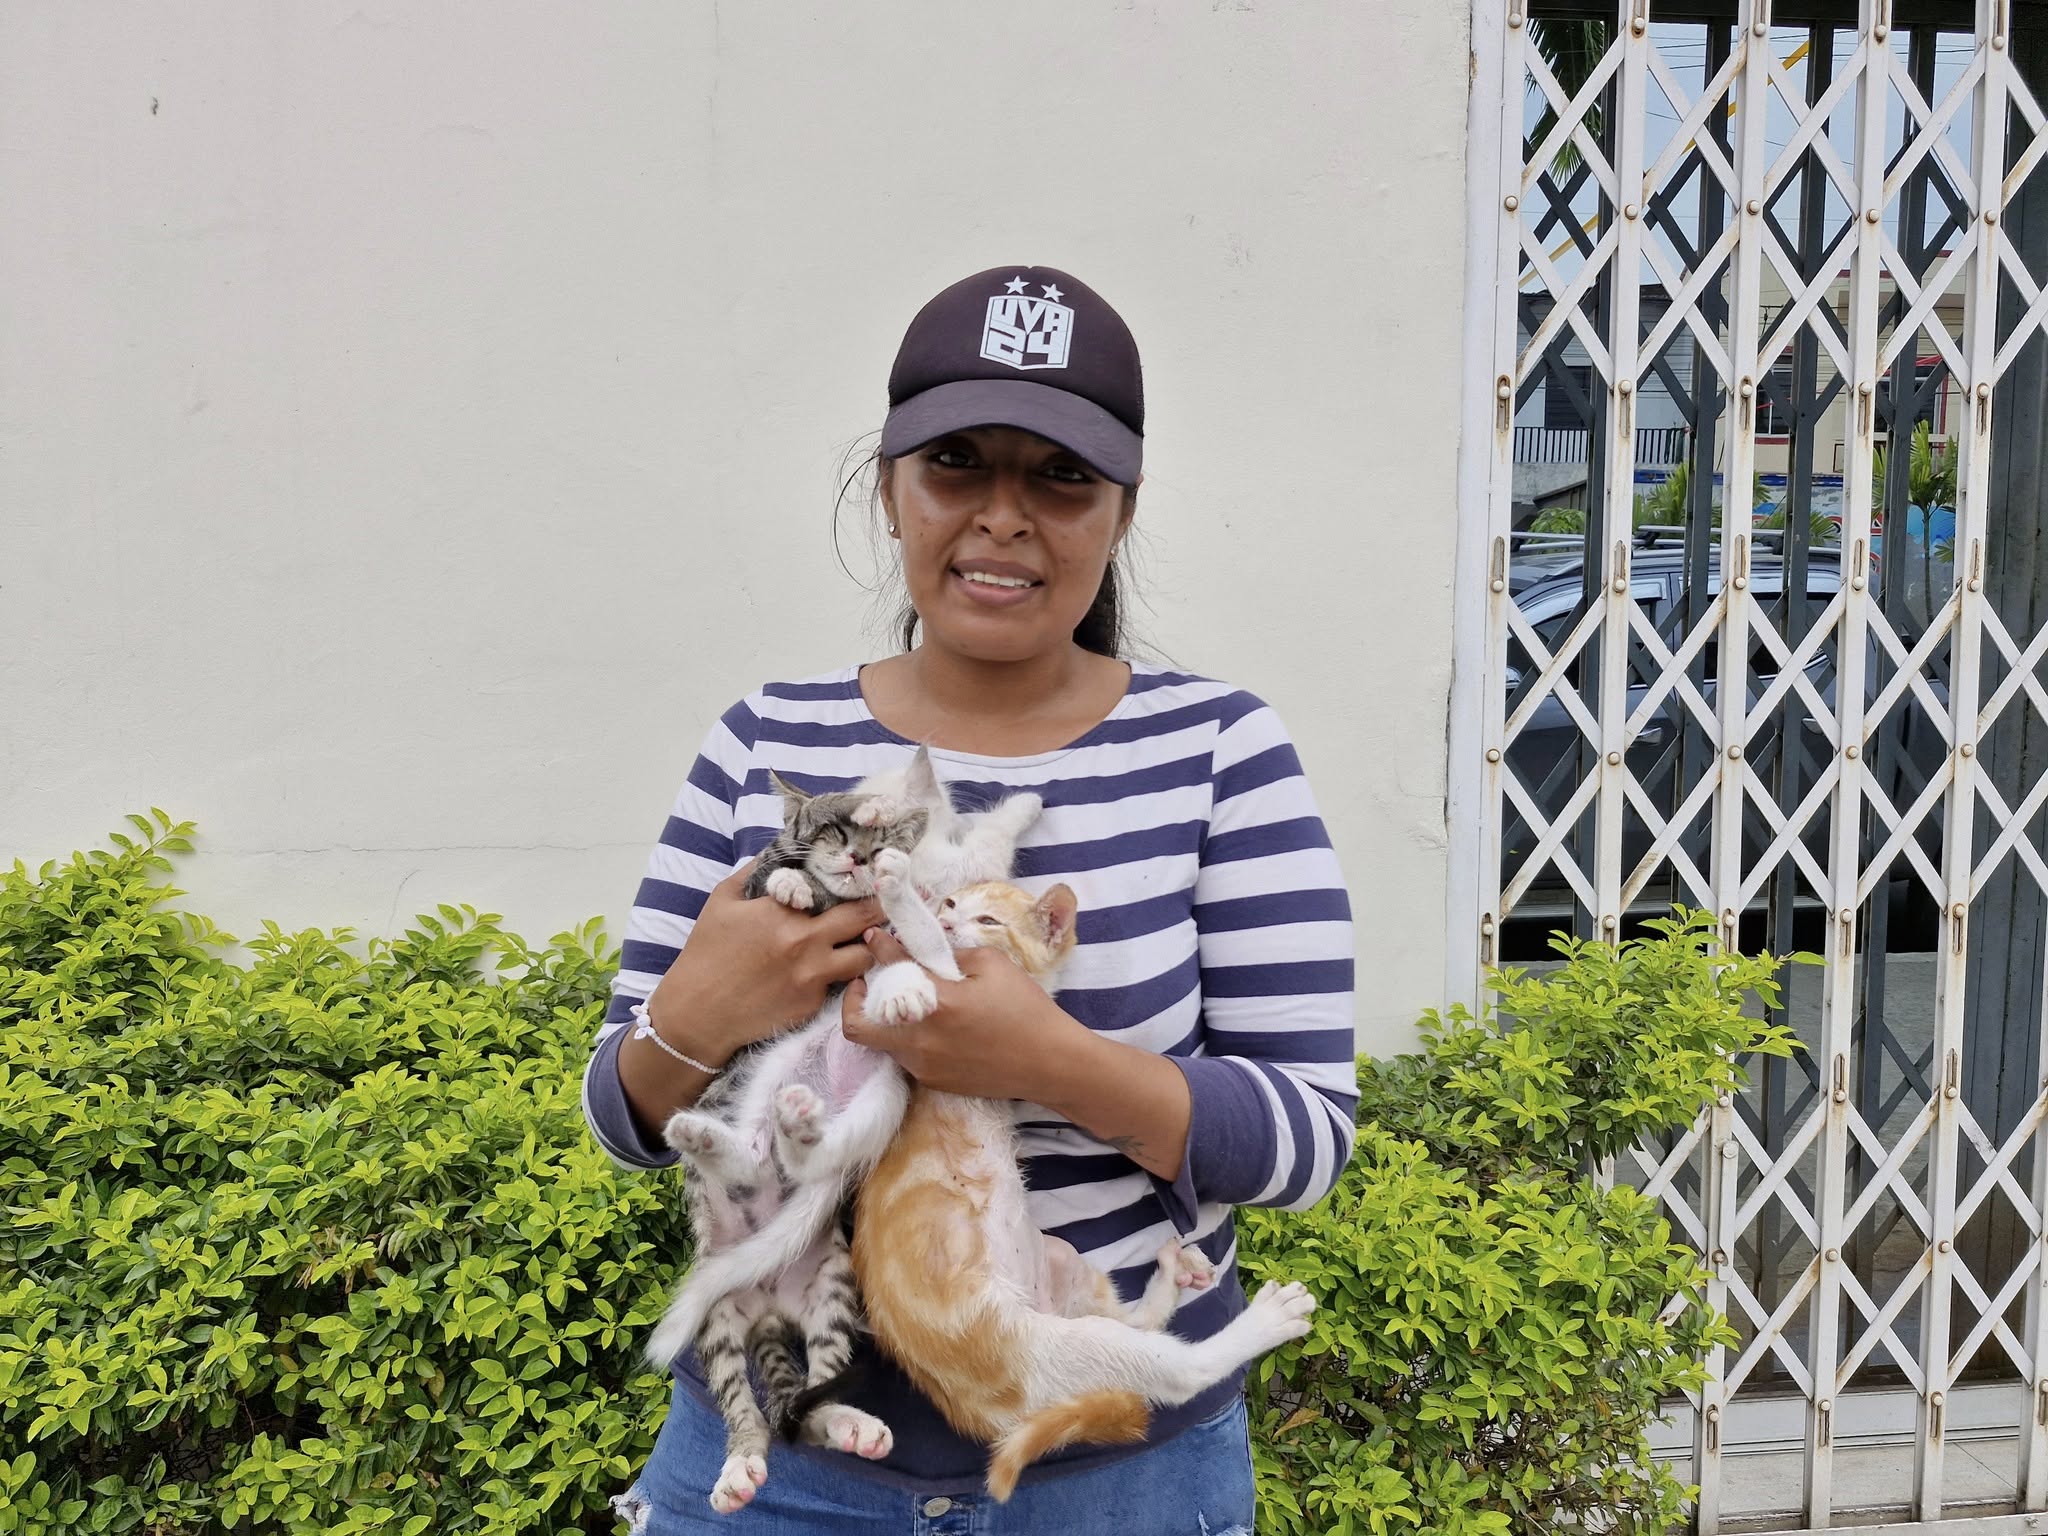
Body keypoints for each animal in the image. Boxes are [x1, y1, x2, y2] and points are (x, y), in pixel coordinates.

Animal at [641, 749, 1042, 1512]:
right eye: (832, 831)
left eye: (871, 835)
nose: (861, 852)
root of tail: (768, 1304)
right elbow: (774, 878)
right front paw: (795, 885)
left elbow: (947, 898)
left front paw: (1018, 806)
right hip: (722, 1293)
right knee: (745, 1397)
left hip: (866, 1157)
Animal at [842, 879, 1319, 1502]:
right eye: (950, 905)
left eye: (989, 920)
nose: (945, 920)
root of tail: (985, 1416)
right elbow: (917, 966)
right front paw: (903, 915)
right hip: (1043, 1349)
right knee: (1174, 1369)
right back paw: (1261, 1318)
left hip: (1062, 1272)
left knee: (1141, 1335)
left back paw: (1178, 1278)